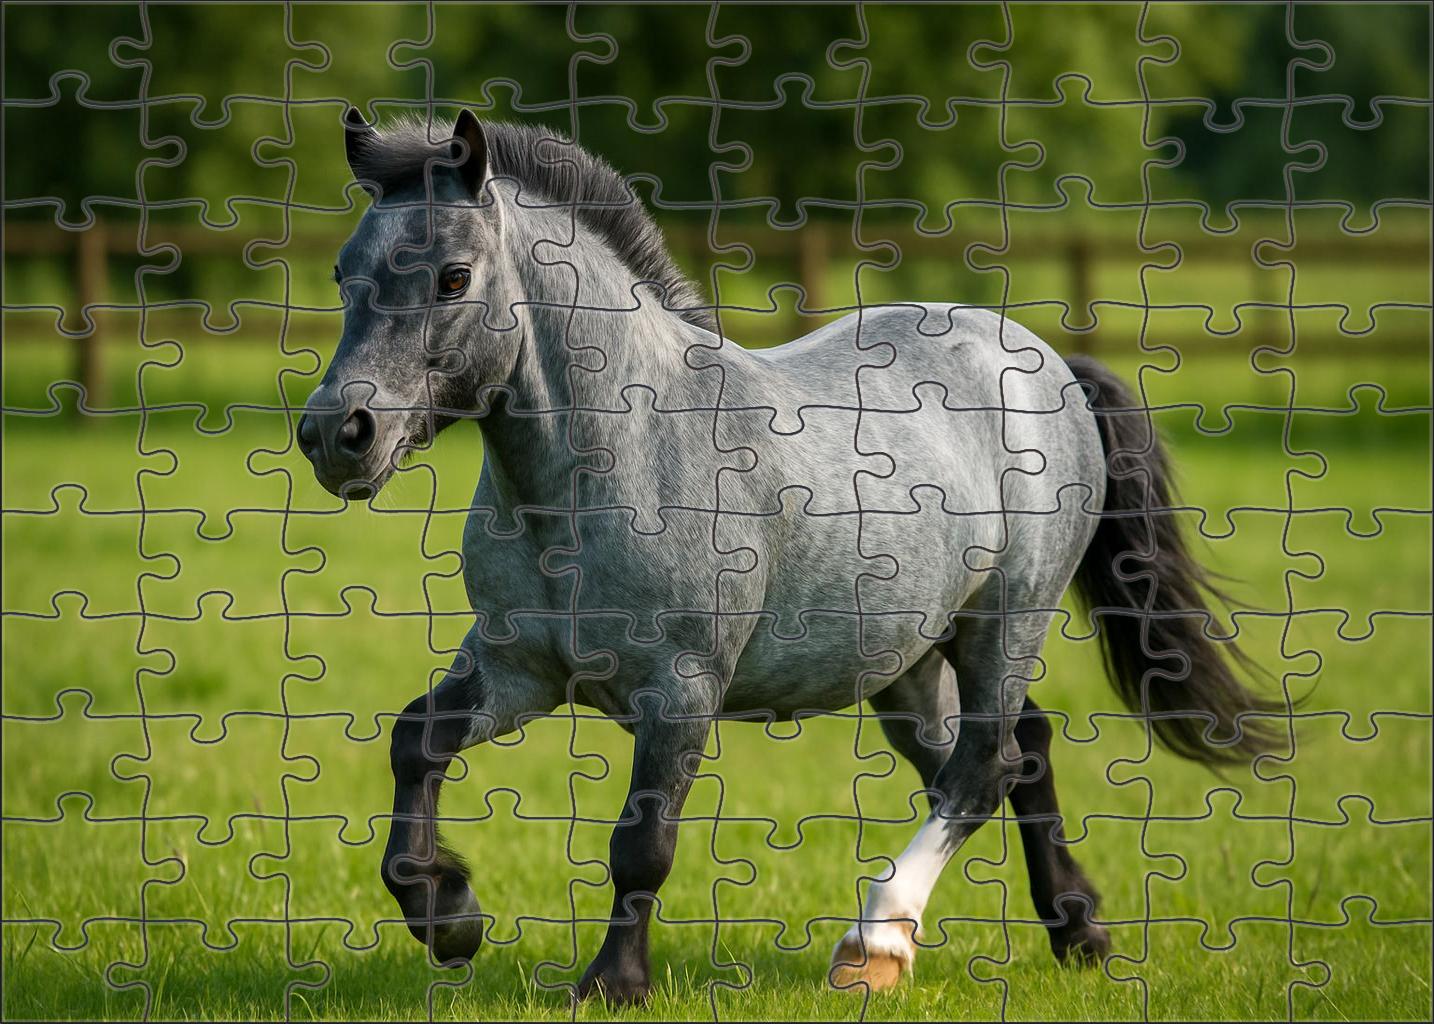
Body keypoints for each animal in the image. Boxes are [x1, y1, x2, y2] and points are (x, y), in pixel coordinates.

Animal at [297, 108, 1279, 1004]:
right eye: (344, 273)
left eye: (453, 276)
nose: (338, 436)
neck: (617, 456)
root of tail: (1051, 366)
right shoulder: (519, 668)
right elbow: (415, 742)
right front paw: (449, 917)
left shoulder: (680, 690)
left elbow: (640, 844)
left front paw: (612, 984)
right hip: (910, 658)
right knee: (1015, 752)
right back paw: (1077, 933)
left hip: (1008, 620)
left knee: (985, 766)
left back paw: (876, 944)